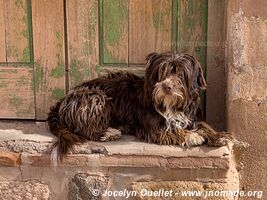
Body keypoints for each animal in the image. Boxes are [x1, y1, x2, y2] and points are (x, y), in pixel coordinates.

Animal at [47, 51, 230, 164]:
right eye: (162, 72)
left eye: (180, 73)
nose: (167, 87)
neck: (173, 106)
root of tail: (63, 99)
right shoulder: (152, 126)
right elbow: (171, 129)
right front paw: (192, 136)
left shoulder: (192, 116)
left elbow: (204, 125)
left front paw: (218, 136)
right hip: (96, 97)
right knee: (84, 129)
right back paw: (108, 133)